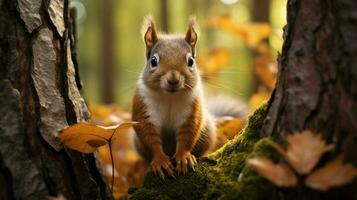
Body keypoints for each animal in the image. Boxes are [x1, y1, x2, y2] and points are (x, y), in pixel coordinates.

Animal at [131, 16, 245, 178]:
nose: (173, 80)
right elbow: (150, 137)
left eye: (191, 61)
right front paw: (160, 161)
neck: (170, 97)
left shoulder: (191, 112)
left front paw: (183, 157)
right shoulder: (143, 110)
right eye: (153, 61)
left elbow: (187, 136)